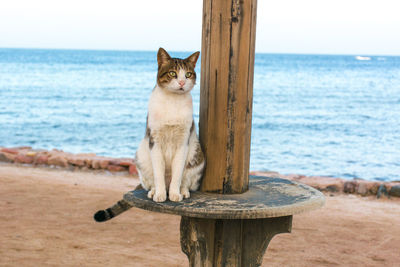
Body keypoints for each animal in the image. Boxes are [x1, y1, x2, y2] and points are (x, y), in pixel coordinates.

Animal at [95, 48, 205, 224]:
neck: (172, 102)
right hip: (141, 157)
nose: (182, 82)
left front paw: (175, 194)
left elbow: (177, 173)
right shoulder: (155, 141)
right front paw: (159, 195)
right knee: (152, 180)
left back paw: (182, 191)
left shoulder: (183, 142)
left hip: (197, 156)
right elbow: (159, 173)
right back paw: (154, 191)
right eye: (173, 73)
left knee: (186, 180)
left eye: (188, 74)